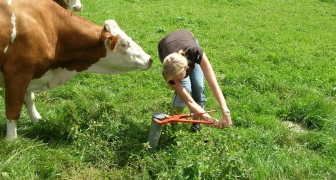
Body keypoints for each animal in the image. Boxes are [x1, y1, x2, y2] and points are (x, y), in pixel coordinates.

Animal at [0, 0, 153, 139]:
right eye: (125, 44)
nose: (149, 59)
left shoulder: (29, 75)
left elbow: (29, 99)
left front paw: (37, 121)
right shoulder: (18, 72)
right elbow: (13, 110)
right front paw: (11, 140)